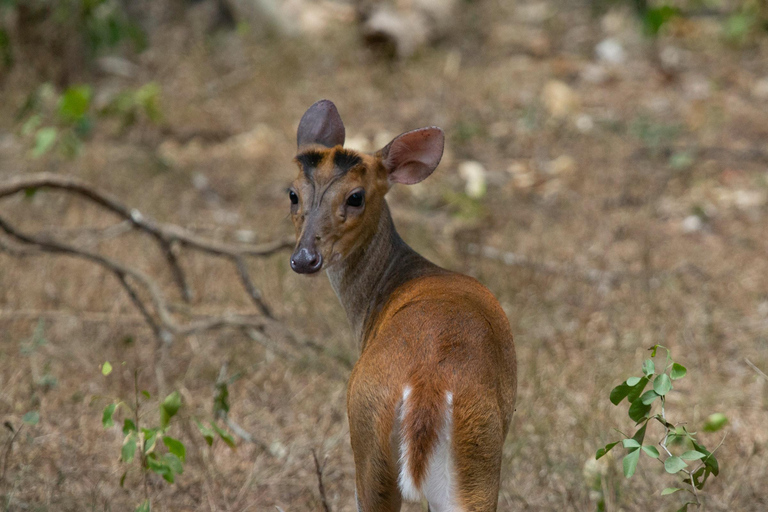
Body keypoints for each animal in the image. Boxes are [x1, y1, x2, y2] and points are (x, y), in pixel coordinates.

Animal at [286, 101, 516, 512]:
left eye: (356, 196)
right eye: (293, 194)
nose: (304, 258)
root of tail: (427, 384)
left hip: (371, 433)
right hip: (476, 447)